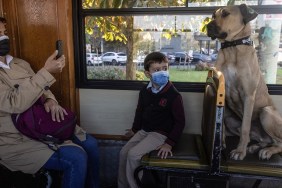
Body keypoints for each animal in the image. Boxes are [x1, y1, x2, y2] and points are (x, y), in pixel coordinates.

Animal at [206, 4, 282, 160]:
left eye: (226, 13)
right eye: (213, 16)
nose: (208, 26)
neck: (232, 47)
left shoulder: (248, 95)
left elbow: (245, 128)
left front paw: (240, 151)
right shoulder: (221, 91)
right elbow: (221, 123)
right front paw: (221, 144)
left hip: (266, 112)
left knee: (279, 143)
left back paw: (267, 150)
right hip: (233, 120)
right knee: (266, 140)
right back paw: (255, 146)